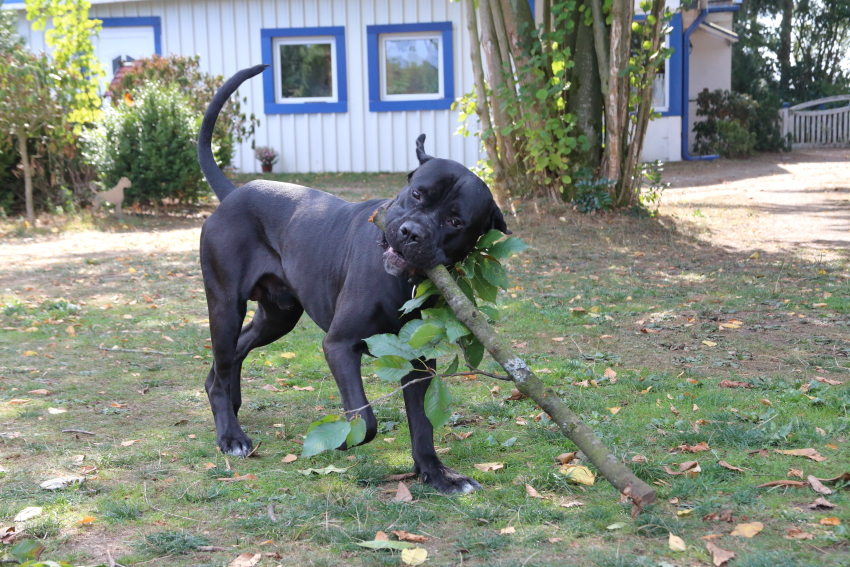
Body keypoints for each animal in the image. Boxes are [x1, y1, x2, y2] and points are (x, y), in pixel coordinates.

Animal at [195, 64, 506, 494]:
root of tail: (233, 195)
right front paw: (343, 440)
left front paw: (437, 474)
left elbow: (422, 425)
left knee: (232, 356)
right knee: (224, 364)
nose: (411, 233)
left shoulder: (418, 363)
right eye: (417, 194)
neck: (403, 284)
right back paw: (231, 436)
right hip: (226, 305)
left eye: (456, 221)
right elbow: (366, 419)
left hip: (277, 316)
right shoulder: (339, 345)